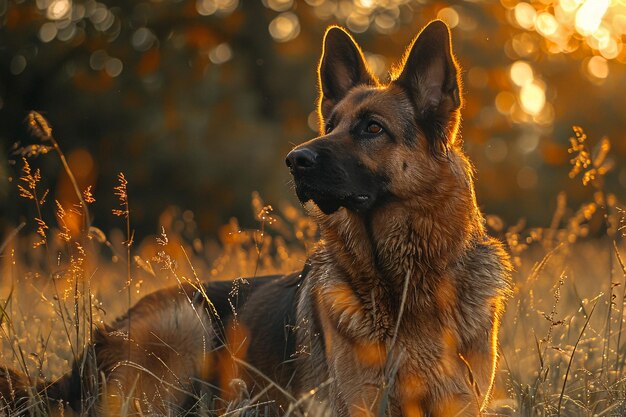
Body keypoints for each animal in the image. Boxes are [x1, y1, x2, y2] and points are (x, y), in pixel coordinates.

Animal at [0, 20, 510, 416]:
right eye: (330, 125)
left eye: (372, 128)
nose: (295, 160)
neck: (402, 286)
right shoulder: (359, 404)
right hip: (186, 326)